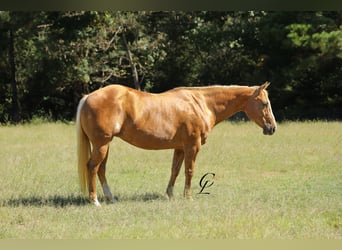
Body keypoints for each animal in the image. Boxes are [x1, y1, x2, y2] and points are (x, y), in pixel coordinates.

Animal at [76, 81, 276, 206]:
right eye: (265, 103)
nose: (272, 128)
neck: (201, 104)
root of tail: (88, 97)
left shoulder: (179, 148)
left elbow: (175, 170)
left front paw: (169, 195)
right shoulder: (192, 146)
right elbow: (189, 171)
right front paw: (188, 197)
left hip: (104, 145)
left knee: (101, 169)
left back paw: (110, 198)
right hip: (101, 144)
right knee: (93, 167)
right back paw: (95, 201)